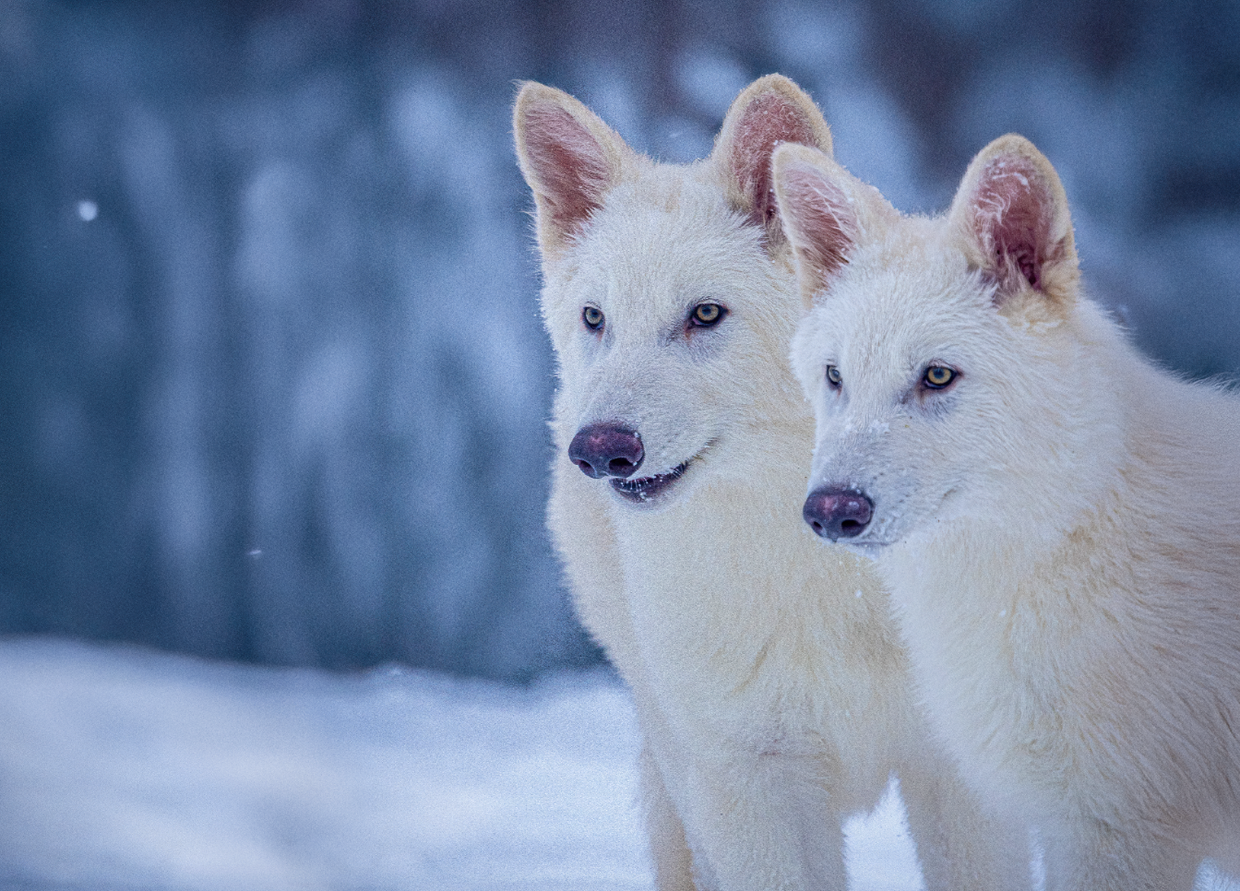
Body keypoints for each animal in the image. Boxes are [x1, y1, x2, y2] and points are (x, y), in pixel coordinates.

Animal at [513, 75, 1028, 891]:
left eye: (705, 314)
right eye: (596, 318)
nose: (599, 451)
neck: (824, 576)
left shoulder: (959, 777)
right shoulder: (746, 785)